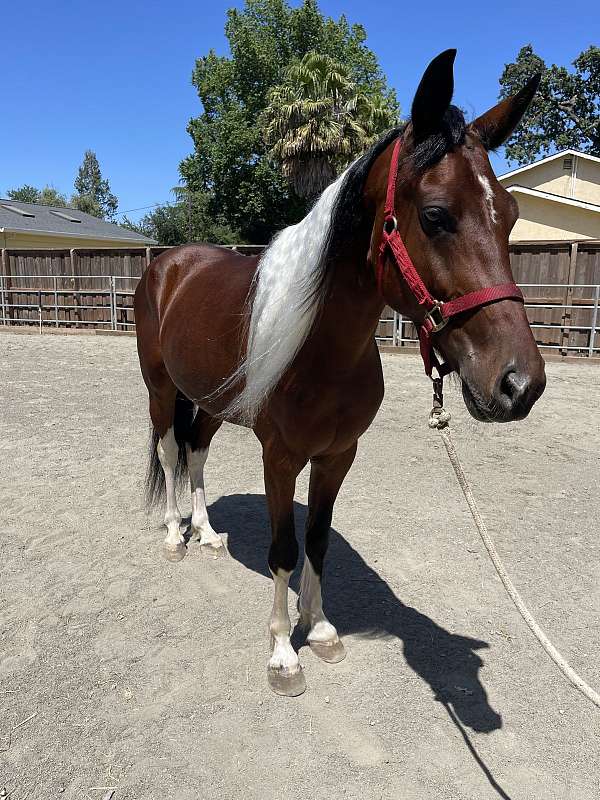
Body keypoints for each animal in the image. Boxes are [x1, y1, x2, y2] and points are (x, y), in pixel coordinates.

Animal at [134, 50, 548, 696]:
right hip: (161, 388)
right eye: (436, 216)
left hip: (213, 401)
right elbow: (283, 549)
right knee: (172, 450)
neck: (321, 350)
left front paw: (322, 629)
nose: (519, 384)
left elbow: (319, 541)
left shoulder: (338, 456)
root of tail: (169, 264)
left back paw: (205, 534)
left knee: (196, 450)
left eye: (508, 216)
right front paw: (284, 653)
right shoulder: (280, 458)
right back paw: (176, 536)